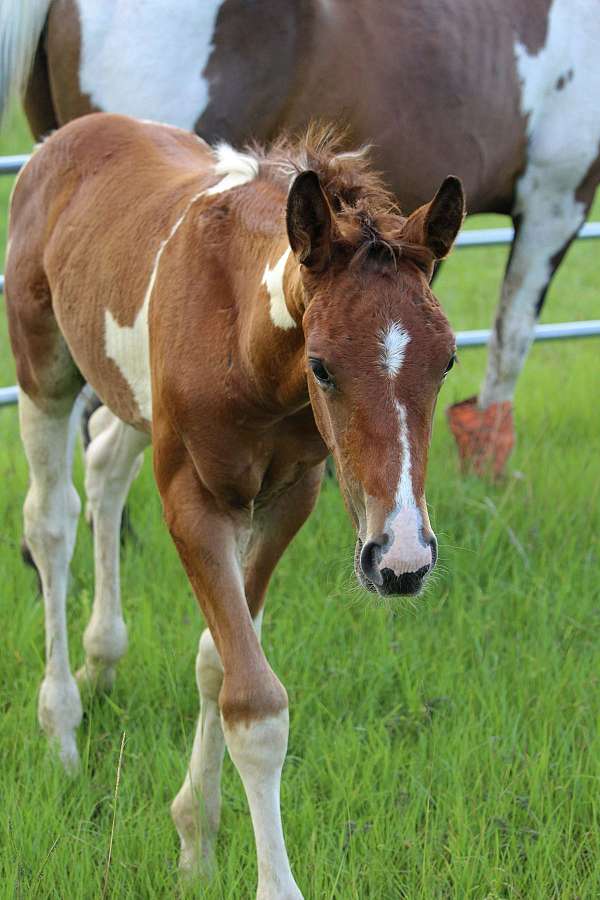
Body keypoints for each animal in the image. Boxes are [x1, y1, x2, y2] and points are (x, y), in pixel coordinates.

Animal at [4, 116, 464, 896]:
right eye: (322, 366)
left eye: (449, 361)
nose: (401, 560)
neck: (243, 337)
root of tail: (70, 135)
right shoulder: (193, 501)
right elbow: (255, 703)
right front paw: (263, 877)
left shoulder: (288, 500)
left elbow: (219, 663)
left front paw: (195, 837)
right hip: (44, 371)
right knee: (52, 521)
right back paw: (62, 725)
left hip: (133, 399)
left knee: (104, 467)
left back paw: (103, 659)